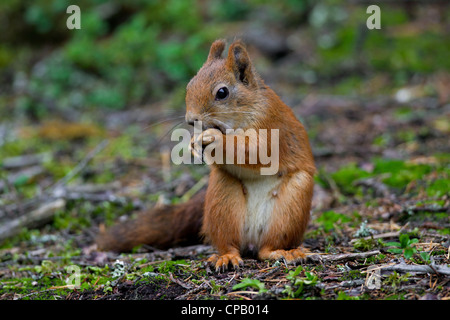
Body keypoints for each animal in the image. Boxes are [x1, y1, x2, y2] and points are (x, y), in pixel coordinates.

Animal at [97, 39, 316, 270]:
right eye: (189, 85)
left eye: (222, 93)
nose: (191, 119)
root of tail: (252, 241)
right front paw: (194, 143)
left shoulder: (271, 126)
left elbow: (256, 150)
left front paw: (214, 138)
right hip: (222, 199)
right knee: (228, 242)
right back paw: (226, 256)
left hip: (293, 203)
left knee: (267, 248)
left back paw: (283, 252)